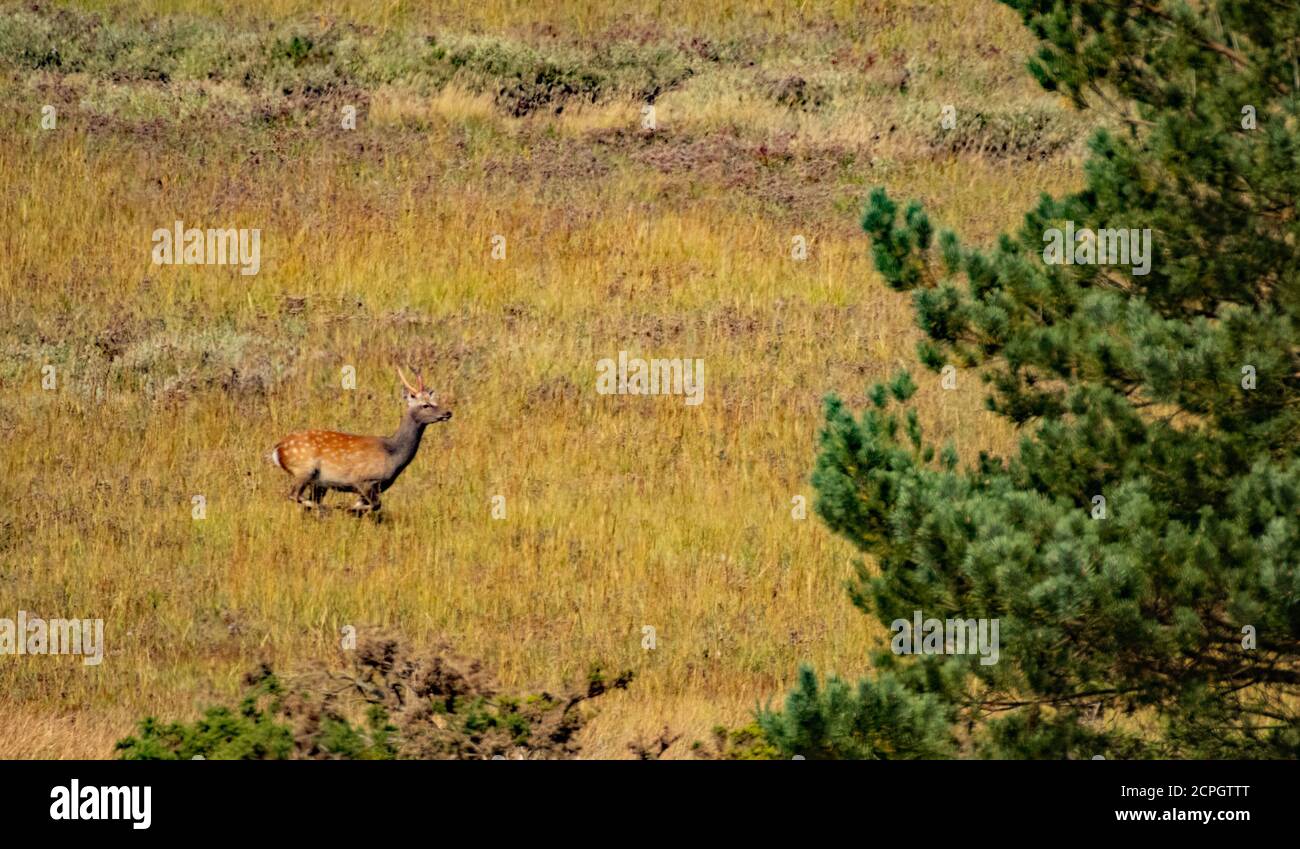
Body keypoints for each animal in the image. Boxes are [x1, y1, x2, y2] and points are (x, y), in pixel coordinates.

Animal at [268, 367, 452, 516]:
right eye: (425, 405)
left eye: (435, 401)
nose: (448, 412)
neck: (393, 454)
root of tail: (277, 450)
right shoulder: (363, 480)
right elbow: (376, 505)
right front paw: (345, 507)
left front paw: (349, 509)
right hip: (304, 470)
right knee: (293, 495)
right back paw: (327, 509)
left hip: (318, 483)